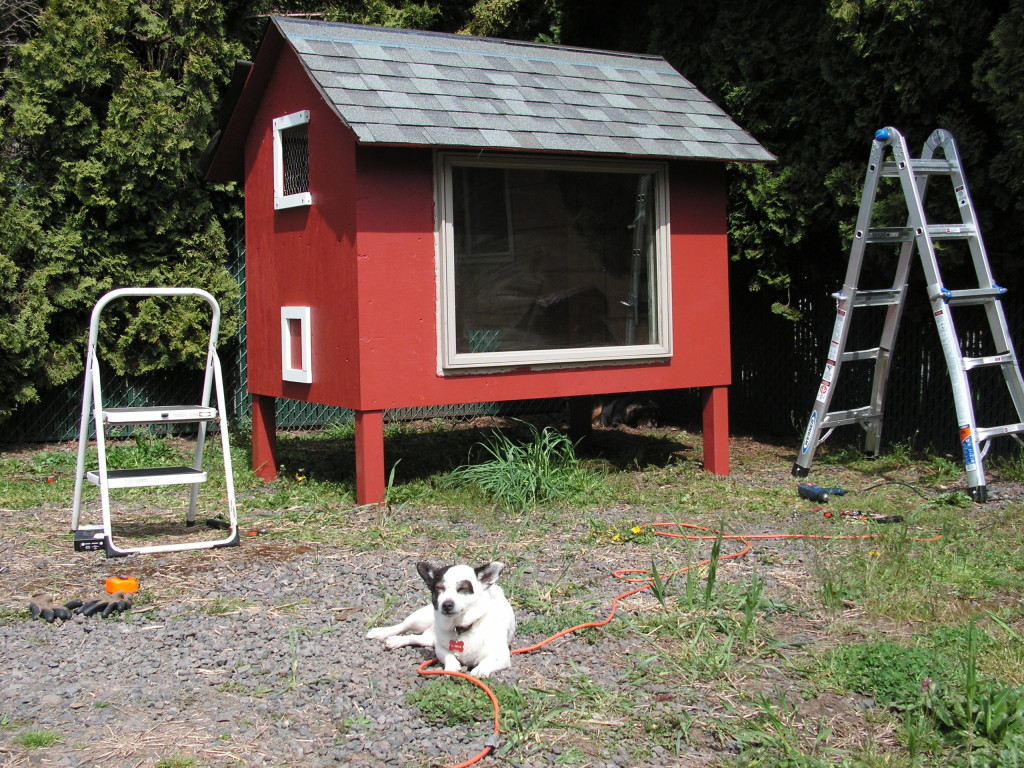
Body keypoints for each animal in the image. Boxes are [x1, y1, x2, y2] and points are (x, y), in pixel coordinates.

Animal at [364, 561, 516, 679]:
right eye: (439, 588)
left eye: (462, 589)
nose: (447, 604)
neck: (460, 627)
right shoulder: (440, 647)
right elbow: (448, 655)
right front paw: (452, 666)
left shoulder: (502, 656)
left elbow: (488, 661)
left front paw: (480, 670)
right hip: (420, 619)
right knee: (403, 626)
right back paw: (382, 633)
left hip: (428, 637)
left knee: (417, 638)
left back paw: (396, 641)